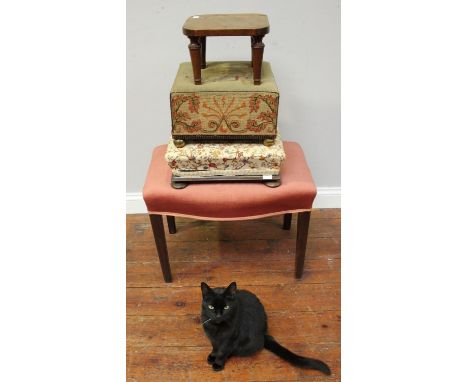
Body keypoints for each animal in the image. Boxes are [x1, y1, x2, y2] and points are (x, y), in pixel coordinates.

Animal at [199, 282, 330, 374]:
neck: (216, 328)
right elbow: (215, 347)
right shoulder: (212, 338)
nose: (218, 315)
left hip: (248, 344)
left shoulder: (231, 339)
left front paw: (218, 363)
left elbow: (223, 351)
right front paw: (212, 356)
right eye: (211, 307)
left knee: (235, 351)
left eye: (226, 307)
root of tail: (264, 334)